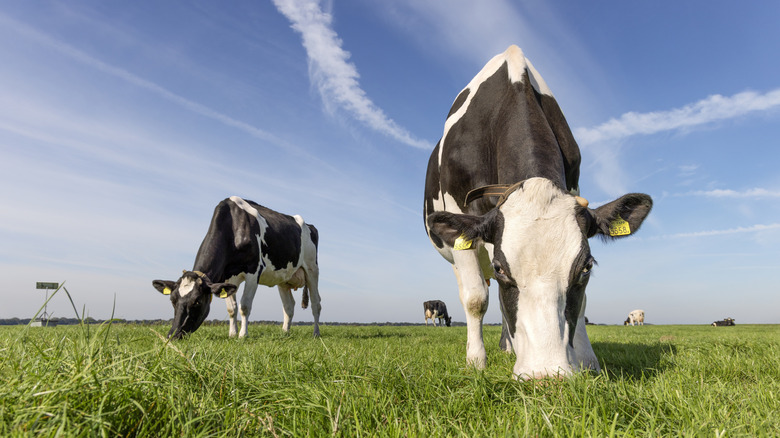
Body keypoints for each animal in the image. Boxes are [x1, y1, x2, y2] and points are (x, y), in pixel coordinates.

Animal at [152, 196, 321, 340]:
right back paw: (285, 333)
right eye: (172, 300)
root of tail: (310, 225)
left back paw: (316, 333)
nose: (172, 336)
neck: (233, 226)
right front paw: (232, 334)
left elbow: (244, 305)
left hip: (312, 269)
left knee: (316, 304)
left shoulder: (254, 270)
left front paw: (243, 335)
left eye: (197, 301)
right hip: (284, 278)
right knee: (288, 306)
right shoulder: (227, 277)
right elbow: (231, 308)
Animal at [423, 45, 653, 380]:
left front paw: (587, 360)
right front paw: (476, 362)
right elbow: (476, 299)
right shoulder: (461, 221)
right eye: (501, 269)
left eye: (587, 267)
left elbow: (582, 303)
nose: (547, 376)